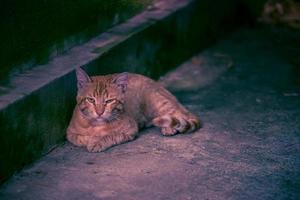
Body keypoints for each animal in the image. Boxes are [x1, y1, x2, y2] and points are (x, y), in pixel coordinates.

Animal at [67, 67, 200, 152]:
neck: (97, 125)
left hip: (158, 102)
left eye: (109, 101)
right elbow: (80, 138)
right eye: (91, 100)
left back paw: (168, 127)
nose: (99, 112)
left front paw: (97, 141)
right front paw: (91, 139)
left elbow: (111, 135)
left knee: (179, 114)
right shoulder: (70, 133)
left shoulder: (130, 130)